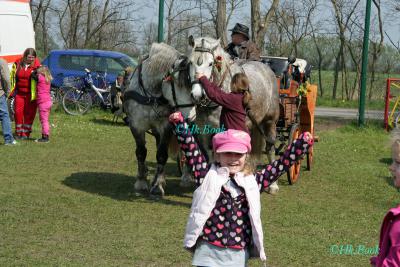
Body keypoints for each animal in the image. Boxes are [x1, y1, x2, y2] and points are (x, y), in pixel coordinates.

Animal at [123, 43, 195, 196]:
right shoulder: (136, 125)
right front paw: (141, 181)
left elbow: (162, 154)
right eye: (179, 85)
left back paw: (185, 177)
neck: (151, 94)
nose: (191, 117)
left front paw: (157, 185)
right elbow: (141, 152)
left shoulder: (166, 126)